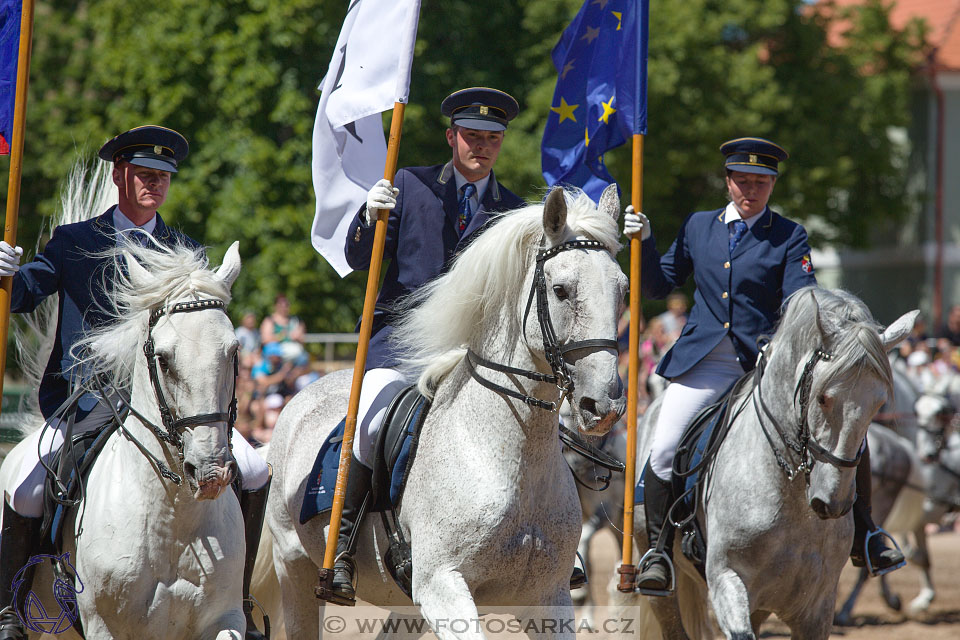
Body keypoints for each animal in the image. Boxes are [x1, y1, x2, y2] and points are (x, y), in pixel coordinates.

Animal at [268, 185, 632, 640]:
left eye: (623, 291)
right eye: (562, 290)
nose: (604, 405)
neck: (510, 458)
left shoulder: (548, 596)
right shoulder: (443, 586)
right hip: (294, 566)